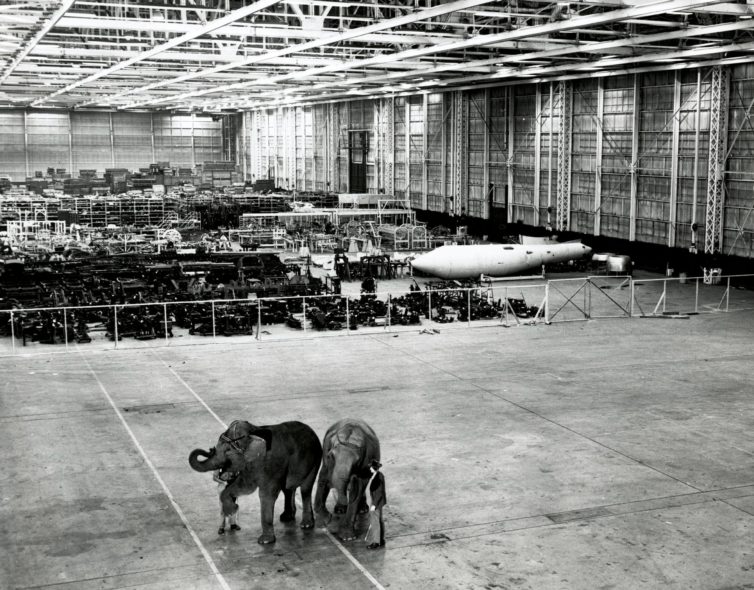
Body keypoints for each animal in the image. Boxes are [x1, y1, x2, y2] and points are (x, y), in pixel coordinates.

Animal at [189, 420, 322, 544]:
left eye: (227, 450)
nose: (210, 450)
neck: (253, 430)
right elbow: (244, 485)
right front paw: (232, 509)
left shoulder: (272, 463)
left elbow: (264, 493)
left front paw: (265, 541)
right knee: (288, 488)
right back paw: (286, 518)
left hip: (315, 459)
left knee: (305, 489)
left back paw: (306, 525)